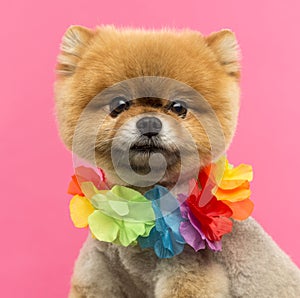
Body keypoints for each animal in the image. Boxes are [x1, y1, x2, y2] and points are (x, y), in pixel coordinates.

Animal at [54, 25, 300, 298]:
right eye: (118, 104)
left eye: (179, 107)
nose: (149, 123)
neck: (143, 196)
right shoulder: (99, 269)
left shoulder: (187, 269)